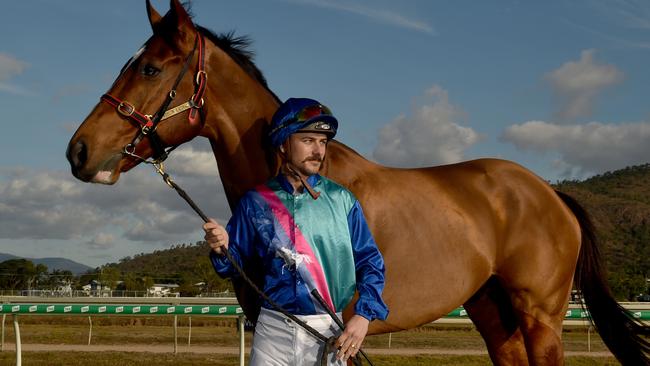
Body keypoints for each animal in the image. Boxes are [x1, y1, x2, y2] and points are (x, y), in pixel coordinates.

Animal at [64, 1, 644, 364]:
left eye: (150, 69)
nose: (79, 151)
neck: (300, 180)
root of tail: (549, 194)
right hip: (493, 313)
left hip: (541, 317)